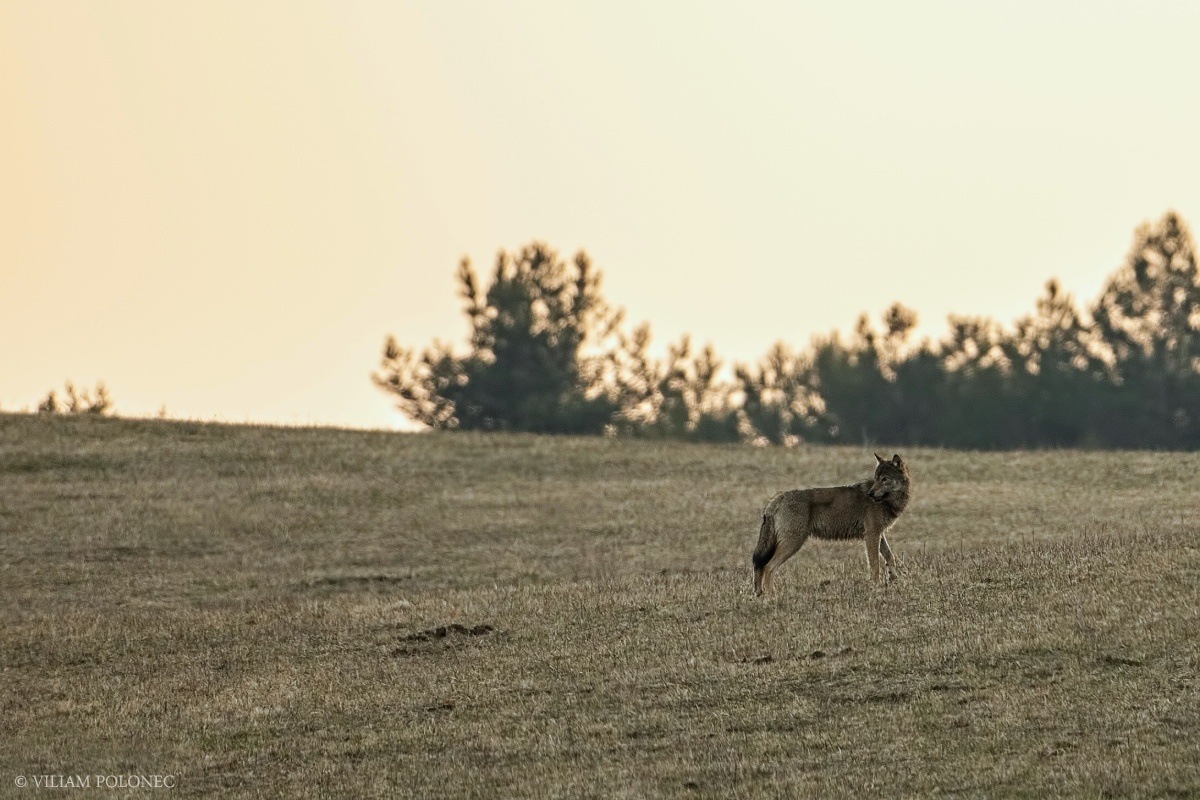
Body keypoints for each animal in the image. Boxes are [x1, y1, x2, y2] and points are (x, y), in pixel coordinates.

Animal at [753, 455, 912, 594]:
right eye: (876, 478)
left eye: (884, 479)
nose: (870, 494)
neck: (887, 502)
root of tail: (778, 498)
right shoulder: (872, 534)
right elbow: (875, 564)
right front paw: (876, 586)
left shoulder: (879, 534)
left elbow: (889, 556)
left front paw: (894, 579)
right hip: (792, 543)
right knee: (768, 567)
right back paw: (772, 596)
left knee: (759, 566)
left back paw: (759, 594)